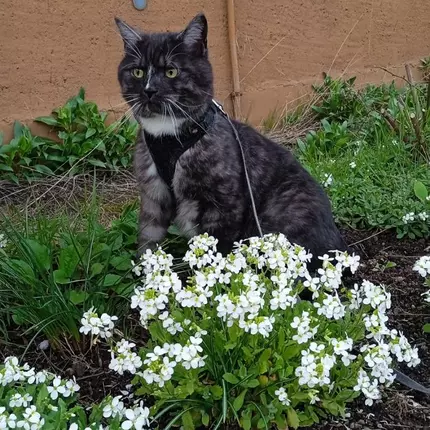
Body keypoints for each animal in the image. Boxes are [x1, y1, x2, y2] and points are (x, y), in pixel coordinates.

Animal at [115, 14, 350, 268]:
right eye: (138, 72)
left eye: (171, 72)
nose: (149, 90)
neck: (169, 138)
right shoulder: (153, 197)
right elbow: (148, 240)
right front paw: (146, 274)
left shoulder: (225, 208)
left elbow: (215, 255)